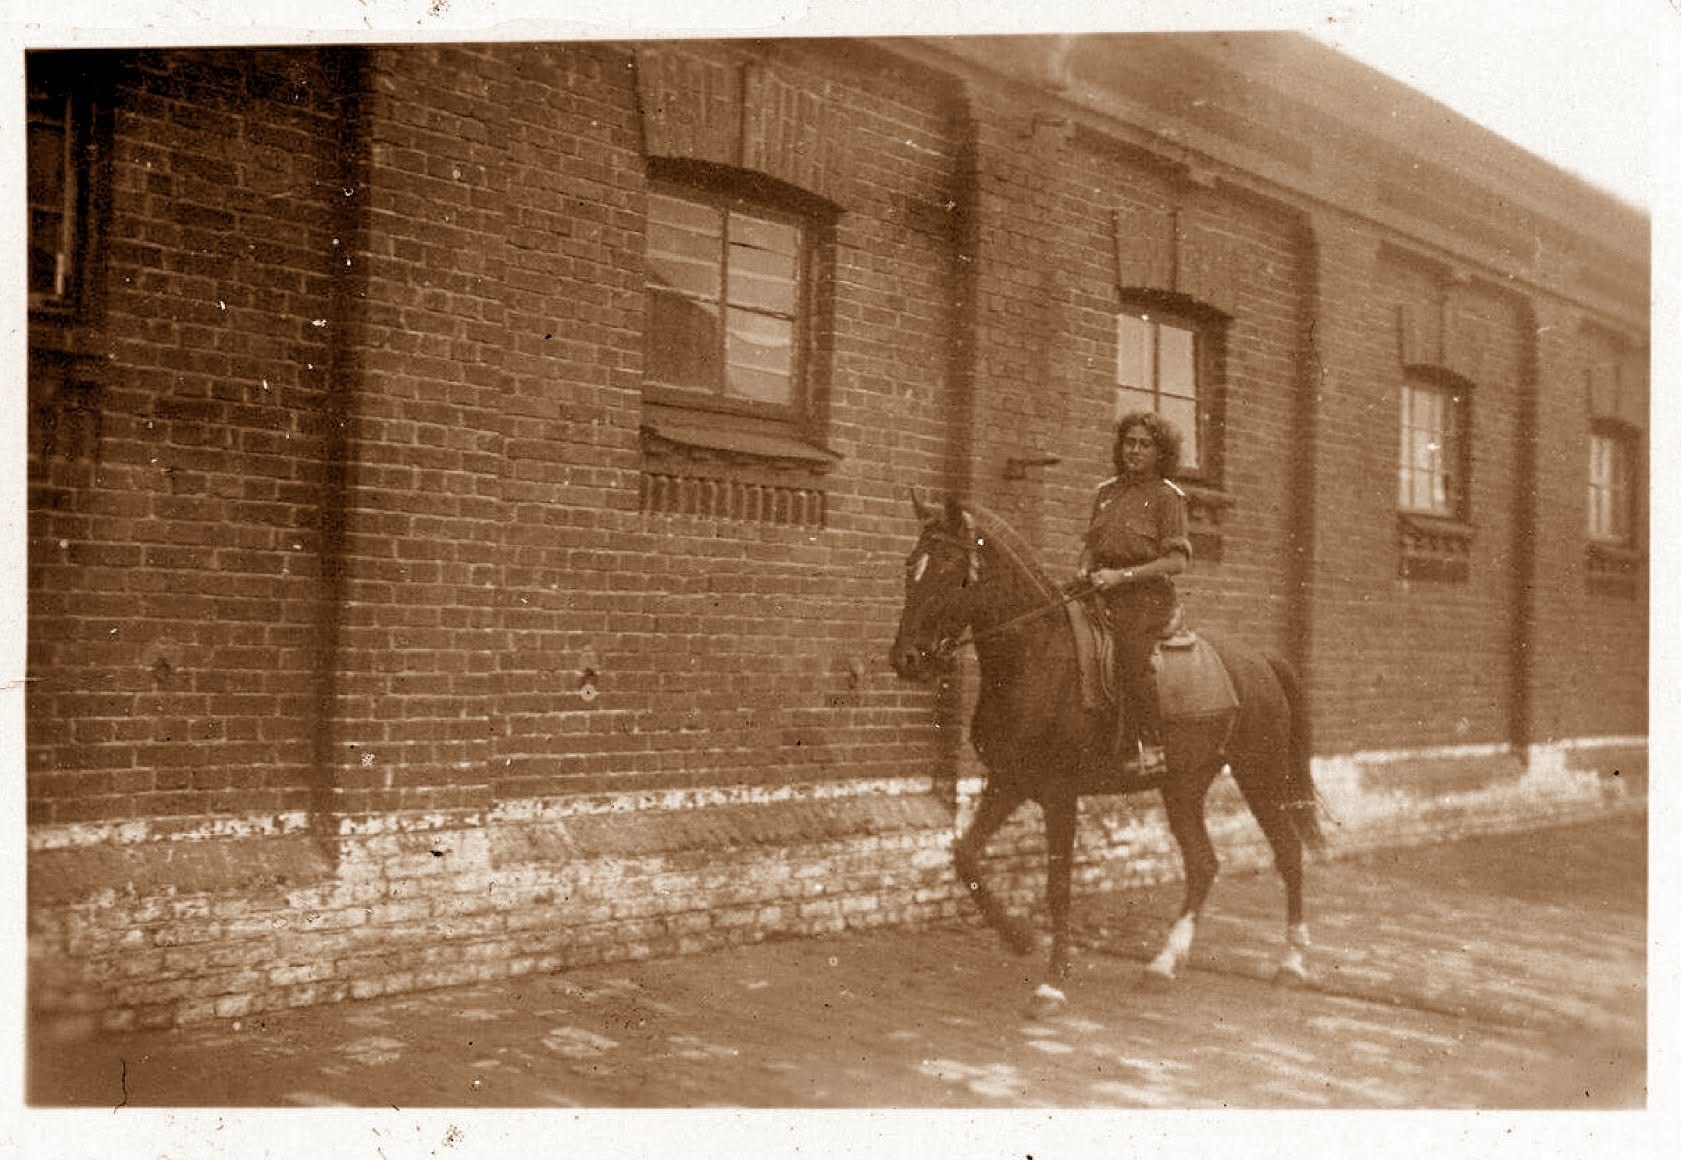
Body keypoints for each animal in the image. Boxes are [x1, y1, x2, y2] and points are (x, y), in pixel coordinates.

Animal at [888, 493, 1325, 1014]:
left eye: (950, 566)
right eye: (911, 564)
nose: (906, 660)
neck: (1038, 656)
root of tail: (1259, 660)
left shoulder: (1060, 793)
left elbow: (1058, 886)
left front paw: (1052, 981)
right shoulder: (1009, 780)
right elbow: (965, 856)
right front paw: (1018, 937)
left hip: (1260, 773)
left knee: (1288, 852)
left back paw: (1291, 964)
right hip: (1184, 786)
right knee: (1203, 864)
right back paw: (1163, 966)